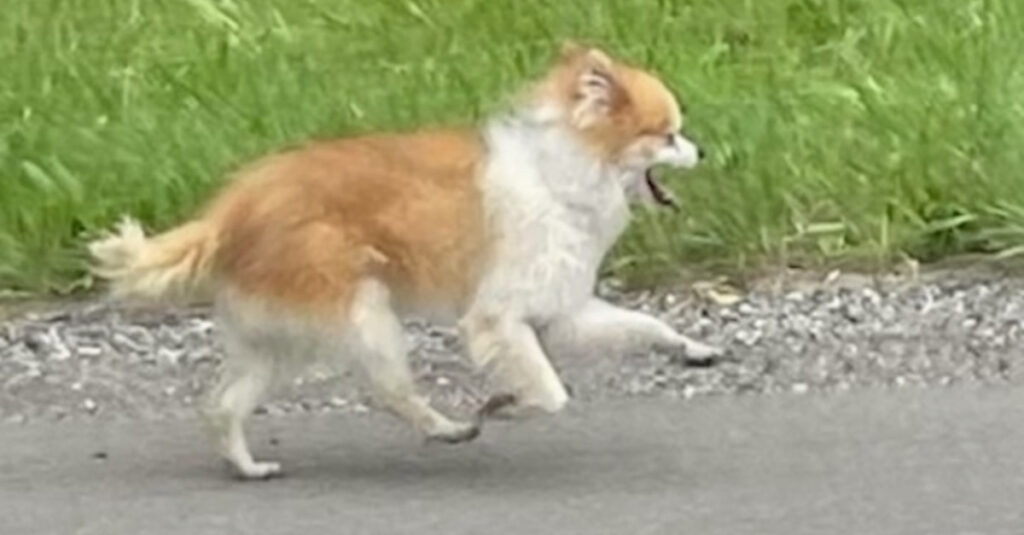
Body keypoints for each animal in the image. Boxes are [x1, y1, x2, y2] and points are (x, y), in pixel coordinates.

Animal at [92, 40, 724, 475]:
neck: (564, 172)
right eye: (668, 135)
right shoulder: (499, 319)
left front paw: (693, 348)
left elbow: (647, 325)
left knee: (223, 405)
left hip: (276, 338)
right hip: (363, 312)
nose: (703, 150)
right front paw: (507, 404)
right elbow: (551, 394)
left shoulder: (565, 310)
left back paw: (248, 467)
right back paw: (447, 428)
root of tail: (230, 213)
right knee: (393, 391)